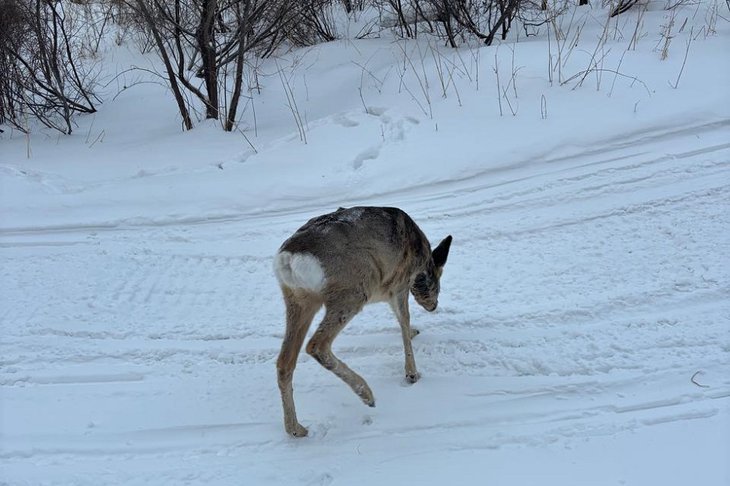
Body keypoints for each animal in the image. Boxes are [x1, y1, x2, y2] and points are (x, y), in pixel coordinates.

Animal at [272, 205, 450, 436]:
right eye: (438, 283)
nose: (433, 306)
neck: (421, 259)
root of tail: (288, 259)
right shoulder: (400, 284)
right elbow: (404, 319)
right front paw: (412, 374)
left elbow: (401, 320)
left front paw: (414, 333)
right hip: (353, 290)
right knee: (316, 345)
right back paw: (367, 394)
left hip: (298, 299)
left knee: (284, 362)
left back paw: (296, 429)